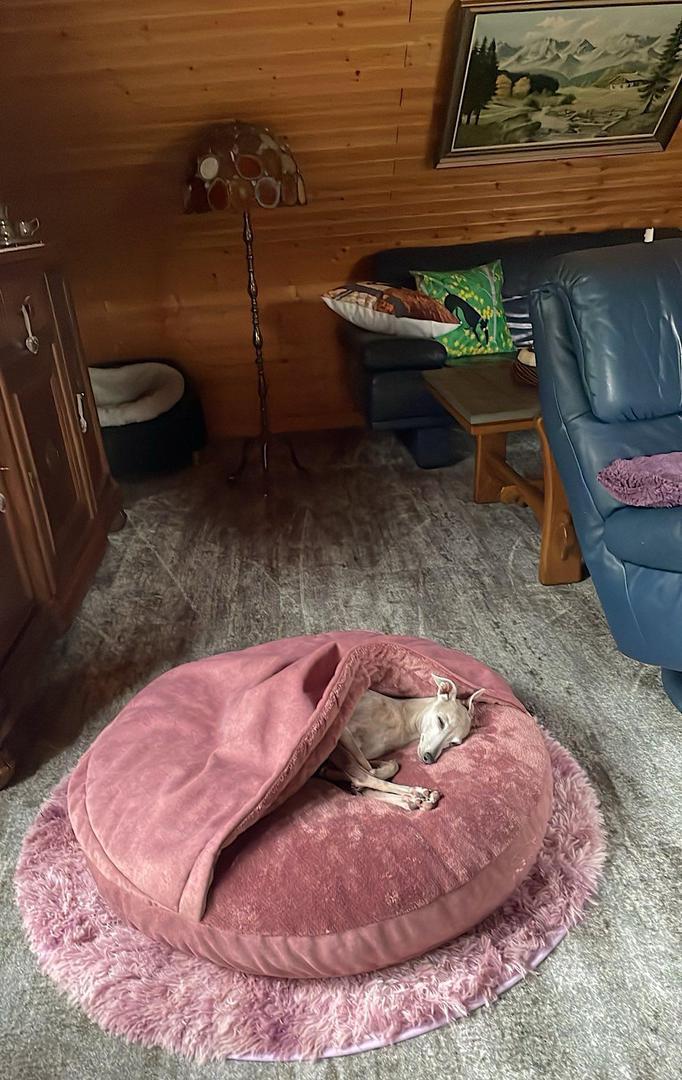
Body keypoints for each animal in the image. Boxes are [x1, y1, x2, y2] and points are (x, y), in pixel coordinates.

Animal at [320, 675, 483, 812]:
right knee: (362, 776)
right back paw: (414, 794)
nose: (429, 758)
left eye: (454, 743)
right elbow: (365, 771)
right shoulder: (341, 732)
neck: (402, 717)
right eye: (440, 721)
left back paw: (414, 799)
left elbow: (388, 766)